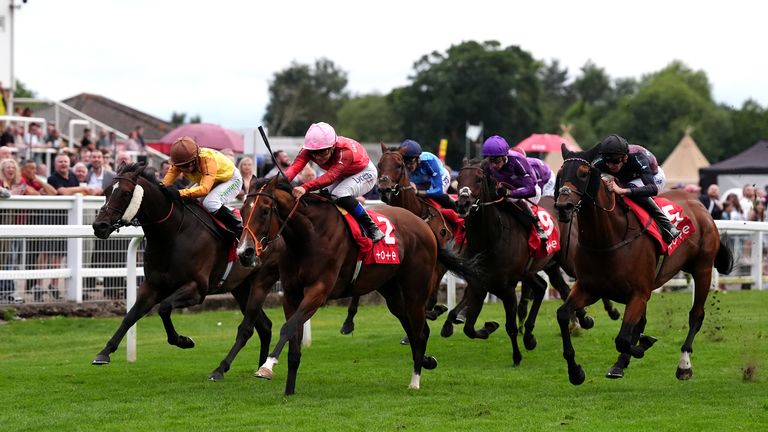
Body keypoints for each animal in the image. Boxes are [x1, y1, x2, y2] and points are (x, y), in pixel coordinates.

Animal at [91, 163, 274, 382]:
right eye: (106, 191)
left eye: (126, 193)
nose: (99, 226)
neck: (172, 235)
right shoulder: (152, 285)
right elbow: (131, 316)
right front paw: (104, 352)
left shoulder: (196, 289)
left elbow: (163, 308)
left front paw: (183, 340)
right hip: (241, 287)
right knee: (264, 326)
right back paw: (260, 368)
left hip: (262, 281)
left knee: (251, 328)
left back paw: (224, 369)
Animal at [237, 176, 484, 394]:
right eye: (243, 211)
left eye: (264, 211)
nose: (244, 252)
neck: (308, 236)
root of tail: (426, 228)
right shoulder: (291, 294)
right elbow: (293, 339)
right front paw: (289, 389)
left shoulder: (318, 291)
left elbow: (287, 328)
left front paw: (266, 366)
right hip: (392, 292)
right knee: (413, 329)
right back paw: (426, 361)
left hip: (415, 291)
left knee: (420, 332)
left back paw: (415, 381)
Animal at [552, 145, 732, 384]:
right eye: (560, 174)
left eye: (583, 173)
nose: (563, 207)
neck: (608, 239)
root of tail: (699, 205)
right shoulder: (589, 288)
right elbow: (563, 314)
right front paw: (575, 371)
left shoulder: (638, 293)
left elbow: (623, 338)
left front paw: (643, 345)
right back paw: (621, 363)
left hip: (702, 269)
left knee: (696, 314)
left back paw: (684, 364)